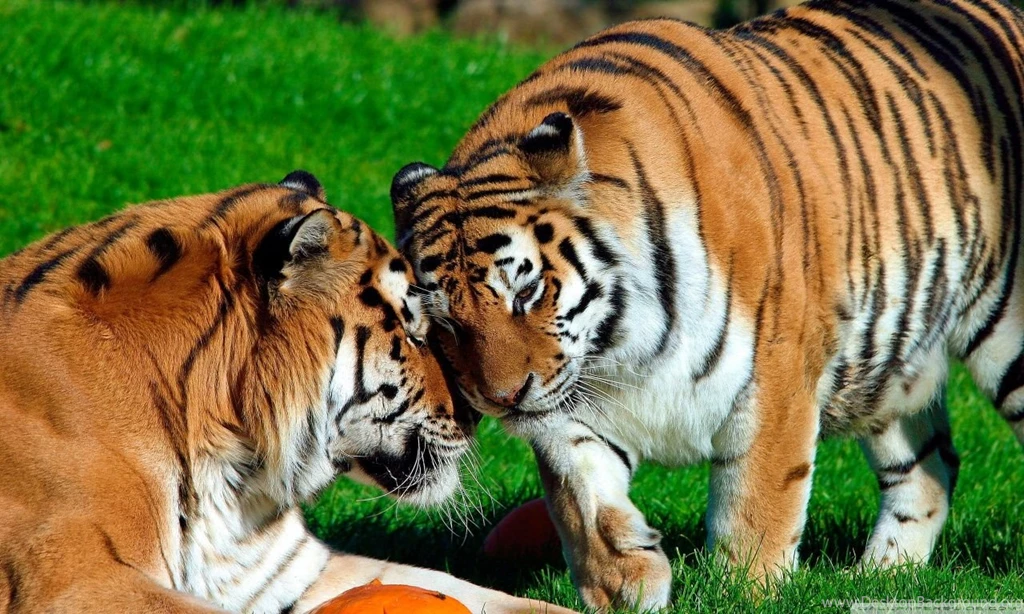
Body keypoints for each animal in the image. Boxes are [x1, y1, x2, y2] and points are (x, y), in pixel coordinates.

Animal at [389, 0, 1024, 608]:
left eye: (526, 291)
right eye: (442, 322)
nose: (500, 399)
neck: (620, 345)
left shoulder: (775, 375)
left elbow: (756, 503)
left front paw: (745, 591)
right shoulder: (568, 405)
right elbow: (581, 496)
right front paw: (624, 582)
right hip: (891, 368)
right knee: (929, 471)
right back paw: (880, 580)